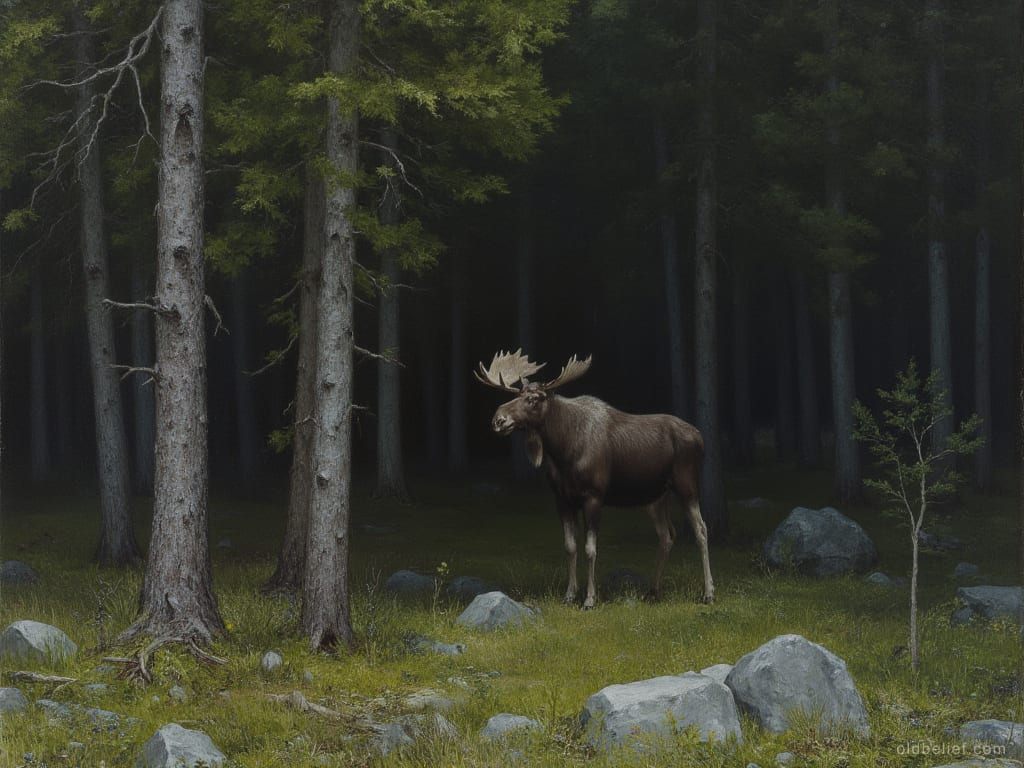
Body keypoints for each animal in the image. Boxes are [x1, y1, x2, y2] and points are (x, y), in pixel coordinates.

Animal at [475, 349, 715, 608]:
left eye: (534, 398)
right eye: (517, 394)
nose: (498, 419)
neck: (562, 451)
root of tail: (700, 437)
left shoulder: (594, 495)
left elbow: (590, 549)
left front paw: (590, 598)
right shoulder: (562, 498)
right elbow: (570, 547)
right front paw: (569, 595)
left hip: (687, 485)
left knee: (701, 530)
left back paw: (708, 593)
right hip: (655, 497)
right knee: (667, 535)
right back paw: (653, 591)